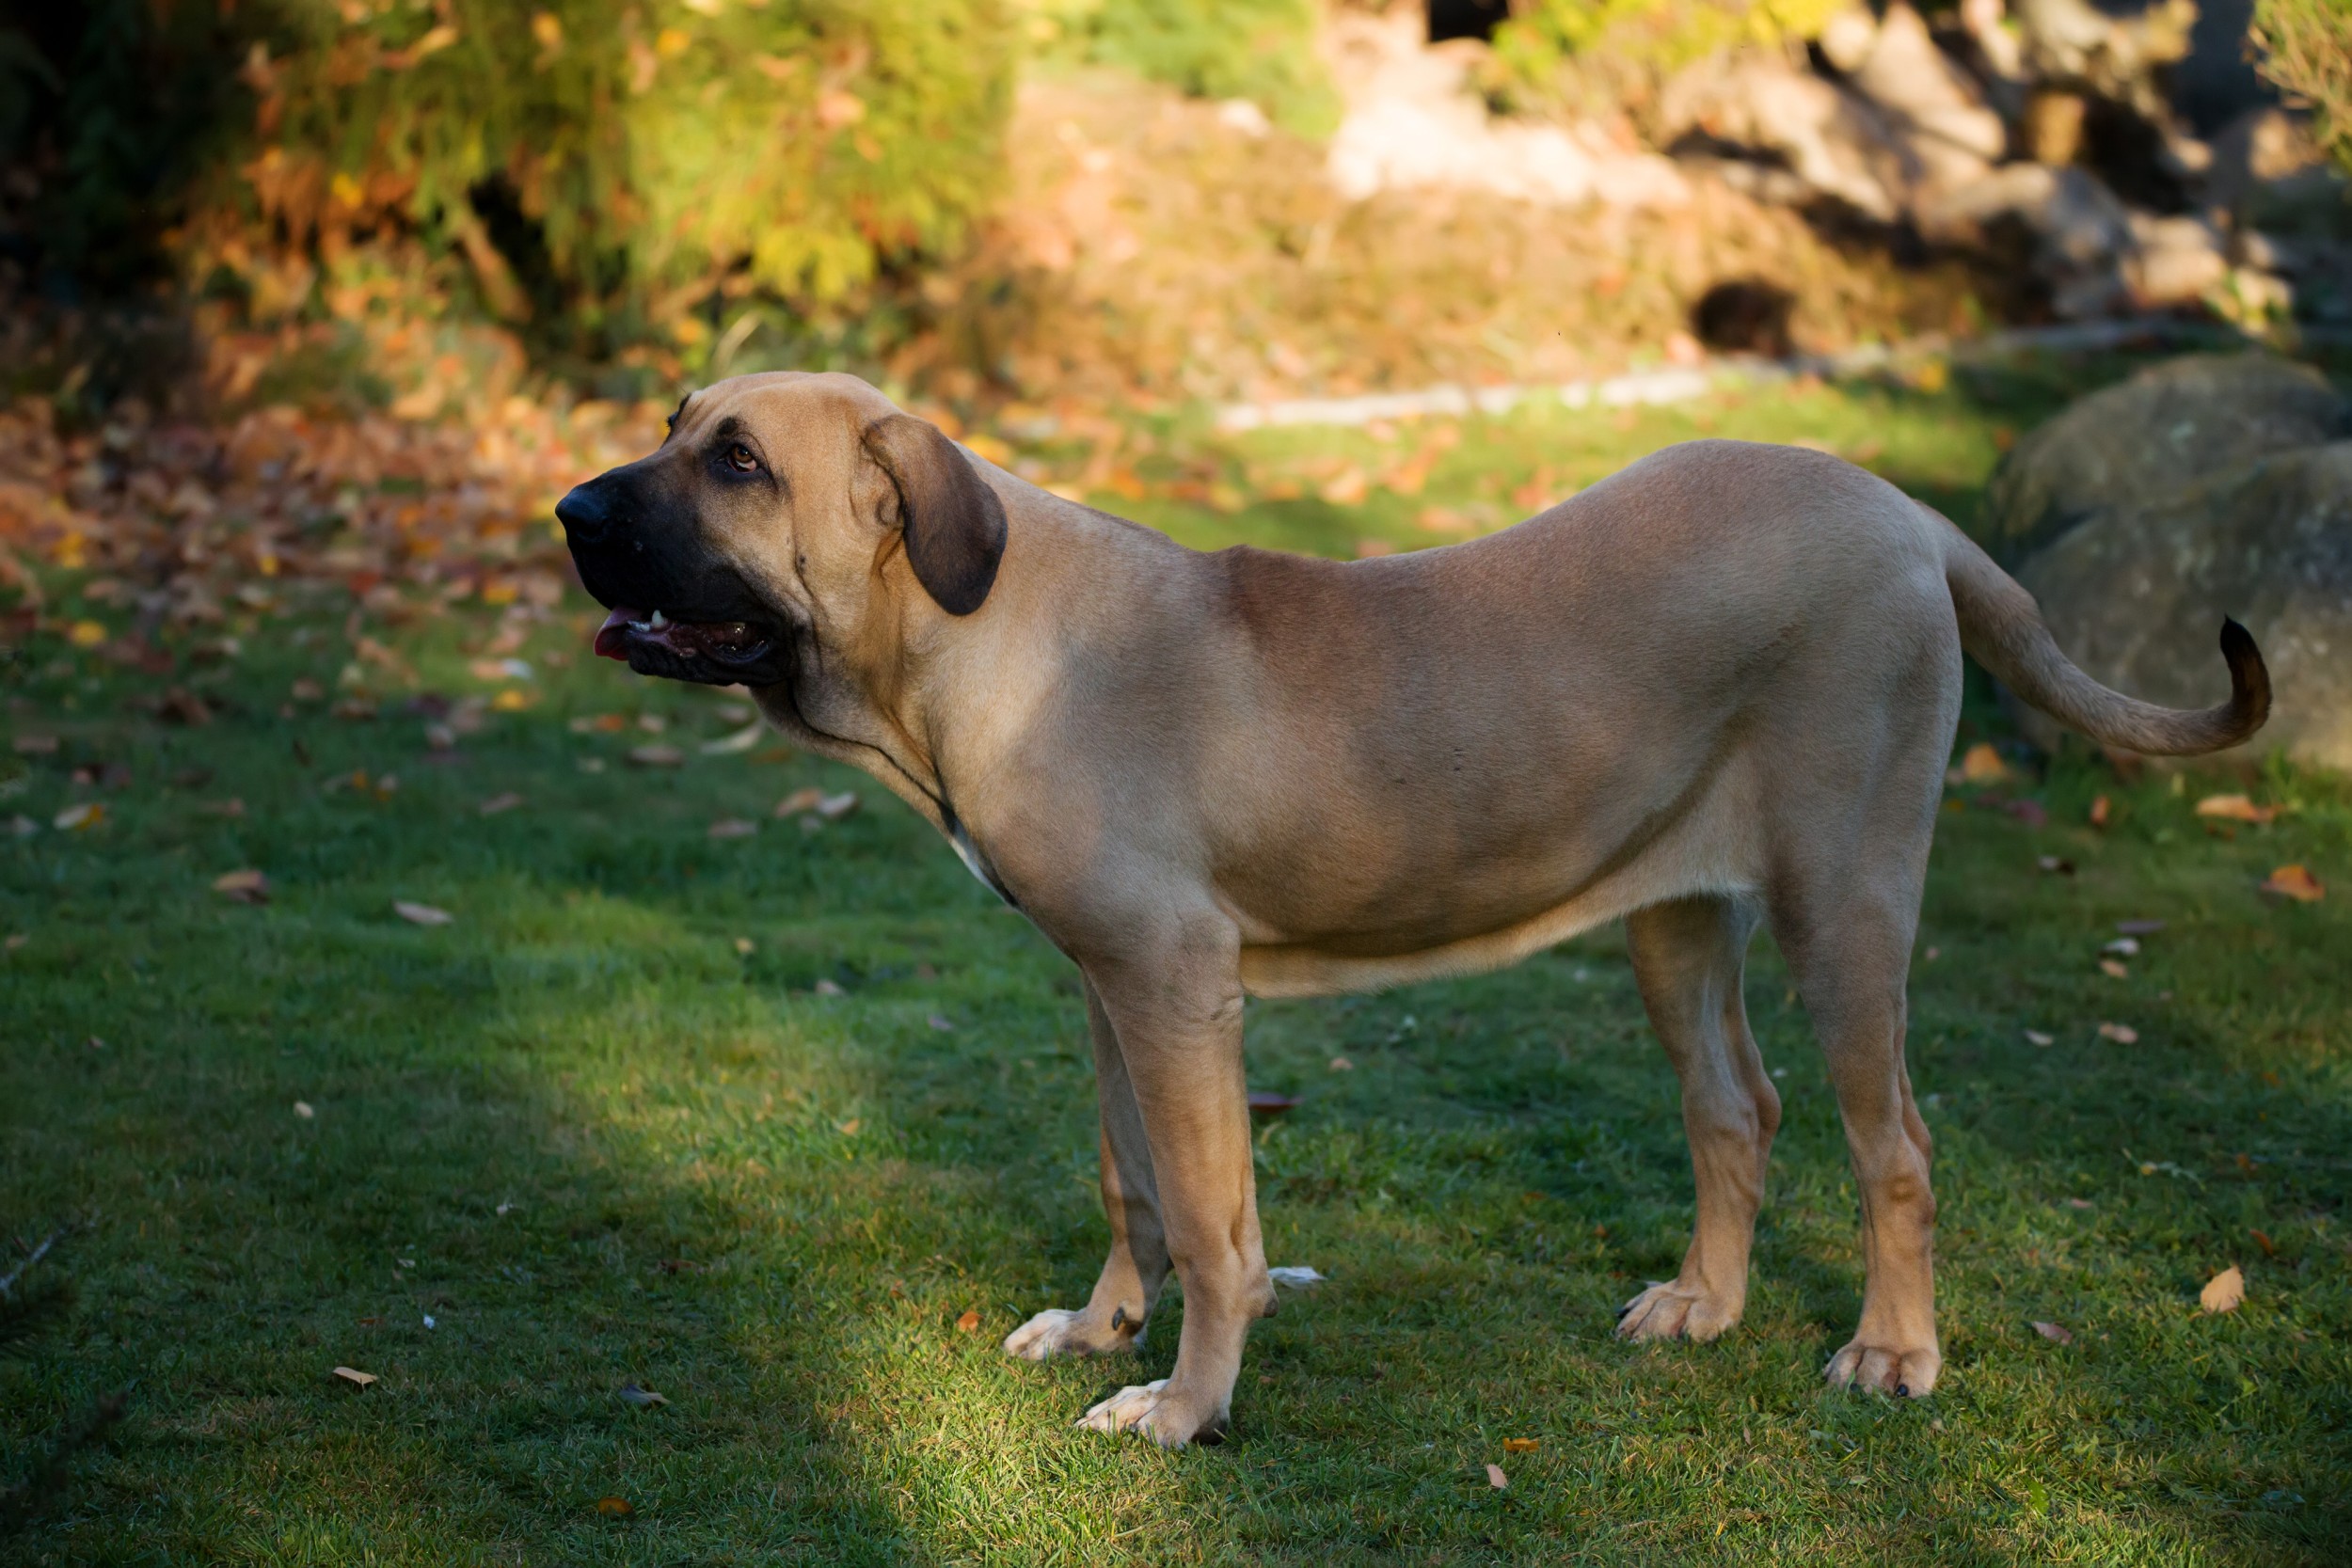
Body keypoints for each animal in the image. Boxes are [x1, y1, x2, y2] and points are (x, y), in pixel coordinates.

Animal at [550, 369, 2258, 1448]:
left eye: (739, 462)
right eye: (673, 426)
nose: (567, 510)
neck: (970, 630)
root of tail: (1907, 512)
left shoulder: (1174, 983)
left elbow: (1208, 1215)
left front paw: (1185, 1406)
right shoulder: (1105, 985)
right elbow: (1136, 1183)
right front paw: (1108, 1330)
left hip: (1846, 905)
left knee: (1892, 1140)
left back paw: (1896, 1348)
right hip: (1675, 918)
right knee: (1737, 1107)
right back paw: (1703, 1306)